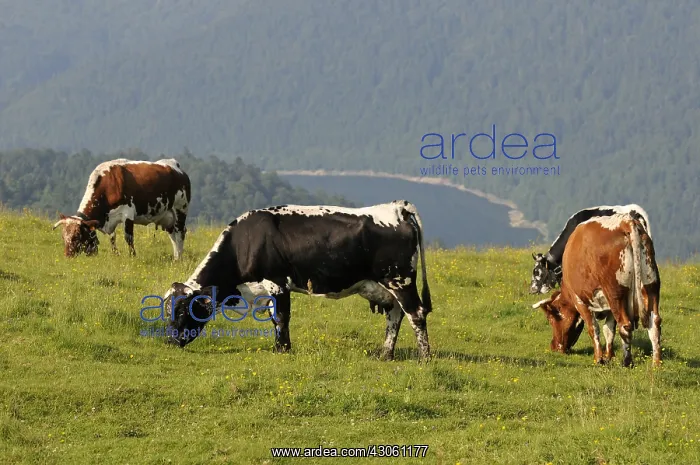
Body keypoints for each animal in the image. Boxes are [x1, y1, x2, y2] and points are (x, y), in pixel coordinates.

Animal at [52, 158, 191, 260]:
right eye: (63, 237)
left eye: (77, 236)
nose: (67, 256)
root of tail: (175, 165)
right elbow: (112, 238)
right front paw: (115, 254)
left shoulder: (128, 213)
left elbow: (128, 238)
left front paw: (132, 256)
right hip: (167, 216)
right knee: (173, 235)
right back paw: (175, 257)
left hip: (180, 209)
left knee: (180, 233)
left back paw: (179, 258)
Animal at [162, 200, 433, 361]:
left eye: (184, 310)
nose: (171, 341)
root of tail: (397, 207)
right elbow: (274, 318)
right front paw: (279, 347)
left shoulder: (277, 282)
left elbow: (282, 317)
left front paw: (283, 349)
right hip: (389, 285)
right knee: (395, 315)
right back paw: (385, 354)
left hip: (400, 279)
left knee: (416, 313)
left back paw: (424, 357)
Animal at [531, 213, 661, 367]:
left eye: (551, 319)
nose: (554, 347)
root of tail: (626, 222)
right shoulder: (609, 307)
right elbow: (608, 330)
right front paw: (609, 356)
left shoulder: (579, 300)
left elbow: (593, 328)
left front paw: (599, 358)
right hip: (651, 287)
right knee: (655, 324)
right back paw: (656, 363)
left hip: (614, 294)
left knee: (625, 325)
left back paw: (627, 362)